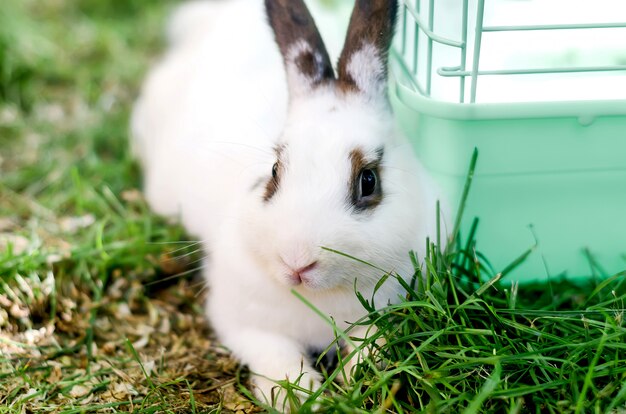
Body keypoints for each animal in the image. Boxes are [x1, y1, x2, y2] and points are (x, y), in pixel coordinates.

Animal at [130, 0, 438, 410]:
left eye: (368, 181)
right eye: (275, 170)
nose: (297, 262)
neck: (319, 296)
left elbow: (373, 344)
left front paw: (358, 381)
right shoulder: (244, 323)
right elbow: (275, 353)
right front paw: (296, 396)